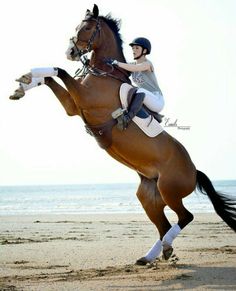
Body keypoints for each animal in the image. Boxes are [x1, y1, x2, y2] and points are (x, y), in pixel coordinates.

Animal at [11, 4, 236, 264]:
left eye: (86, 28)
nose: (70, 52)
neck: (105, 73)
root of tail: (194, 170)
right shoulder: (73, 106)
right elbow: (49, 77)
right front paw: (23, 84)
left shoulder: (83, 99)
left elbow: (59, 70)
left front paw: (28, 76)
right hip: (150, 196)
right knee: (163, 224)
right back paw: (153, 255)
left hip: (169, 190)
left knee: (185, 217)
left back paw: (164, 248)